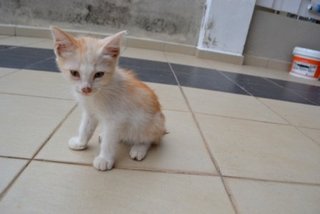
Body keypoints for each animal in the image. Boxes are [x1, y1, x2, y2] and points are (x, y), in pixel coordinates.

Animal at [51, 26, 166, 171]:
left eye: (99, 74)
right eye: (74, 73)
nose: (86, 89)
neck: (100, 91)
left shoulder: (116, 118)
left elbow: (109, 140)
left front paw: (104, 159)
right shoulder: (90, 112)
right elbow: (86, 127)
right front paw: (80, 142)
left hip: (149, 122)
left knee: (149, 139)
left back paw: (139, 148)